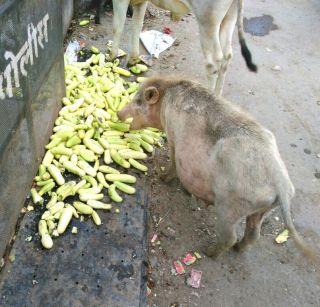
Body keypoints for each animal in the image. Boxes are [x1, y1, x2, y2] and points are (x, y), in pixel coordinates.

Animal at [119, 76, 316, 260]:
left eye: (138, 101)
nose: (119, 114)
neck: (166, 99)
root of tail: (281, 184)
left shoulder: (173, 136)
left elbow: (174, 160)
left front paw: (162, 178)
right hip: (262, 209)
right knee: (253, 234)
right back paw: (238, 249)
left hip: (229, 206)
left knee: (230, 237)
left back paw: (208, 252)